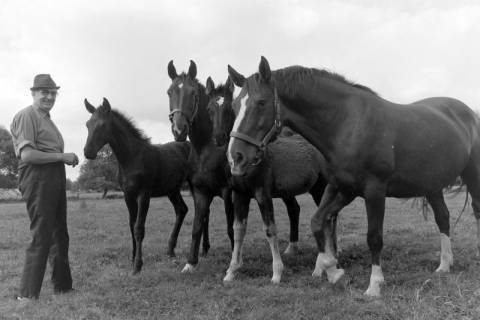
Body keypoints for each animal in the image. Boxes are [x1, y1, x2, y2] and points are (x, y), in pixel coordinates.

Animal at [84, 99, 191, 274]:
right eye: (88, 124)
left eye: (102, 125)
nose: (88, 152)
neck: (132, 158)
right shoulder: (128, 195)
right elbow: (131, 226)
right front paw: (133, 258)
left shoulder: (144, 195)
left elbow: (139, 228)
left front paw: (137, 266)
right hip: (173, 190)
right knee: (182, 210)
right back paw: (171, 250)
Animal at [204, 76, 328, 284]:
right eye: (209, 109)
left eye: (228, 108)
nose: (219, 138)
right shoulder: (240, 195)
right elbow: (238, 229)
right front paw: (232, 270)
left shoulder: (263, 194)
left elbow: (270, 229)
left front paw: (277, 273)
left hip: (320, 188)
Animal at [225, 56, 480, 296]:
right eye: (235, 106)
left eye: (261, 103)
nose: (236, 157)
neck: (346, 124)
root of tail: (469, 113)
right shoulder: (341, 188)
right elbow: (318, 221)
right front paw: (332, 270)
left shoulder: (374, 190)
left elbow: (374, 237)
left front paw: (374, 285)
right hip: (432, 185)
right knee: (443, 218)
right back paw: (444, 265)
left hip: (472, 176)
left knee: (476, 211)